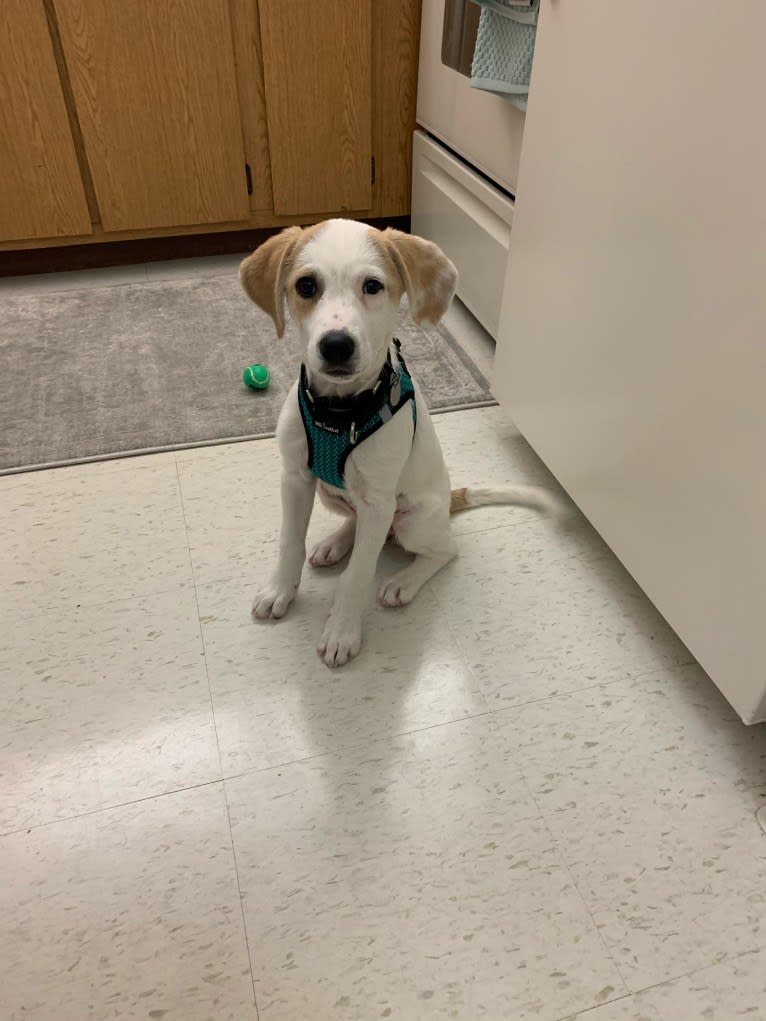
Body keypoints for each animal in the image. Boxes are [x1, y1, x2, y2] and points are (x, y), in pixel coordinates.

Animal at [238, 219, 551, 665]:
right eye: (305, 285)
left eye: (372, 286)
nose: (336, 345)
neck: (340, 411)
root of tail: (449, 498)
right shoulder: (295, 479)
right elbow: (289, 542)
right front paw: (280, 590)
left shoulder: (378, 499)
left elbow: (357, 575)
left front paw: (342, 631)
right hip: (335, 497)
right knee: (357, 522)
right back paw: (335, 543)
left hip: (413, 520)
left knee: (444, 549)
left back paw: (404, 581)